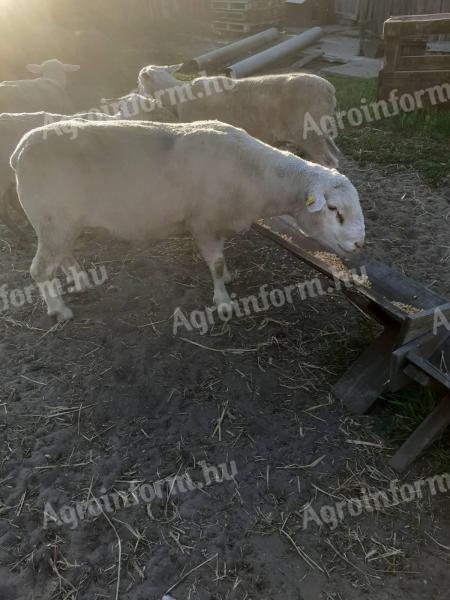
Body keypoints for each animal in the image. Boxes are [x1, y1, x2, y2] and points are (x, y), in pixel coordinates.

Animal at [10, 119, 364, 322]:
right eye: (334, 209)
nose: (359, 243)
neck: (256, 174)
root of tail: (20, 149)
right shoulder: (204, 222)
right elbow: (215, 264)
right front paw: (223, 303)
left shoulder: (218, 222)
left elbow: (223, 258)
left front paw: (229, 279)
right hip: (53, 219)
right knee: (40, 270)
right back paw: (59, 311)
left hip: (61, 222)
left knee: (63, 255)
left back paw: (80, 280)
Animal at [139, 64, 340, 169]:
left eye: (139, 80)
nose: (137, 92)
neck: (176, 96)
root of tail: (329, 89)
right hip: (322, 131)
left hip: (309, 133)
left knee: (328, 162)